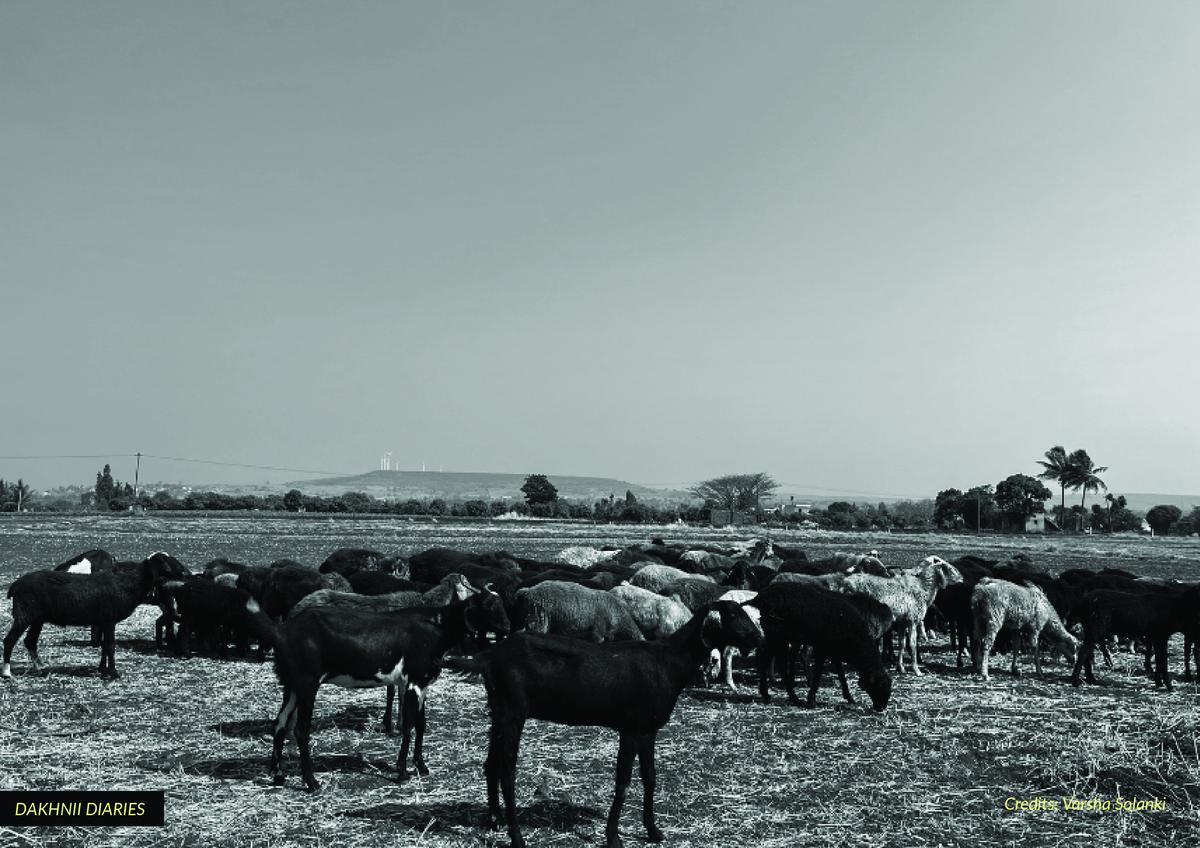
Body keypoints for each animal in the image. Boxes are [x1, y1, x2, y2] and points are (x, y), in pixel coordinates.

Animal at [2, 554, 162, 681]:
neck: (129, 583)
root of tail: (16, 585)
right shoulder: (109, 620)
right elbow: (110, 645)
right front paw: (113, 673)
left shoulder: (103, 621)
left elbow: (104, 645)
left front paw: (103, 670)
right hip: (25, 614)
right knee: (9, 640)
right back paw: (6, 673)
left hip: (37, 619)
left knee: (30, 641)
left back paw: (41, 669)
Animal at [243, 590, 506, 791]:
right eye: (489, 606)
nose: (507, 626)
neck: (437, 626)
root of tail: (282, 630)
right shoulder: (412, 683)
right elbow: (408, 727)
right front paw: (402, 772)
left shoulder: (421, 684)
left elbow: (421, 725)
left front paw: (421, 766)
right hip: (307, 683)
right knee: (300, 729)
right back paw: (312, 783)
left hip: (292, 684)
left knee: (279, 722)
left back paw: (278, 775)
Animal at [477, 599, 758, 848]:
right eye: (733, 615)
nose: (758, 637)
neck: (668, 661)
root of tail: (490, 658)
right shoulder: (630, 729)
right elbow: (622, 783)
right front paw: (613, 837)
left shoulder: (648, 730)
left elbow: (650, 778)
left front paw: (653, 831)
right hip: (512, 713)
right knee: (507, 773)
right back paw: (516, 837)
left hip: (499, 712)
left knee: (491, 764)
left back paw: (495, 819)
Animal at [516, 582, 648, 642]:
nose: (642, 638)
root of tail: (528, 591)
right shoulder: (600, 620)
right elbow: (598, 634)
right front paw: (600, 639)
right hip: (539, 611)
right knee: (536, 625)